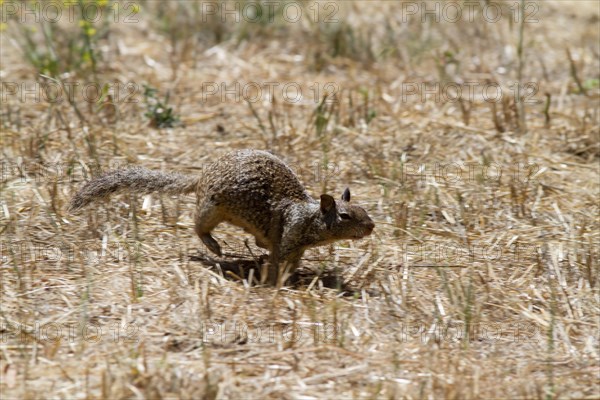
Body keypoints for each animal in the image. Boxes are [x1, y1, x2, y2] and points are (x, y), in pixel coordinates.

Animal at [68, 149, 372, 284]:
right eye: (345, 216)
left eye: (365, 210)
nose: (372, 227)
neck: (308, 218)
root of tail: (201, 176)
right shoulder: (288, 238)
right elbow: (276, 262)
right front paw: (274, 282)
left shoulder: (297, 248)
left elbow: (288, 263)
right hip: (210, 208)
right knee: (198, 226)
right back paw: (214, 246)